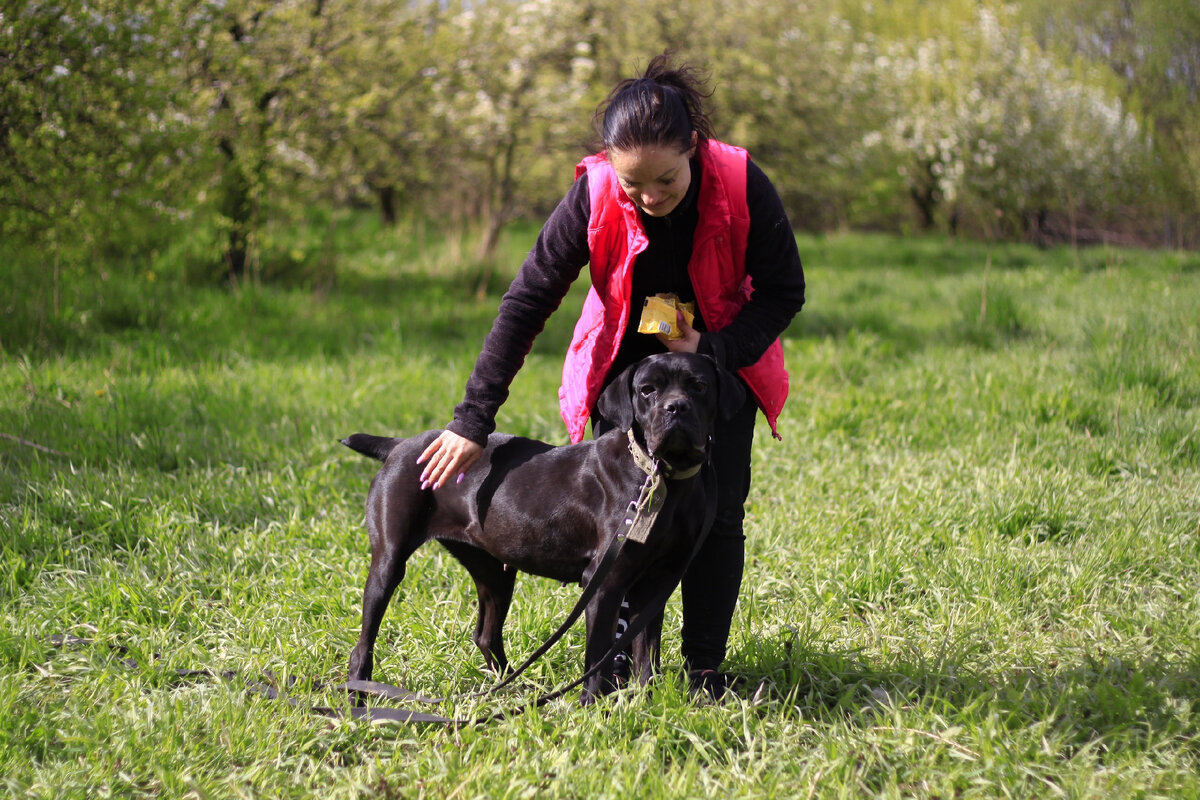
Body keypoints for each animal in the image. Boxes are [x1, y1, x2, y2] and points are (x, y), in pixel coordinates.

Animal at [343, 352, 744, 705]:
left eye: (699, 386)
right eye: (647, 390)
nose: (676, 408)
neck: (661, 477)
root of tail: (398, 446)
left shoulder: (655, 582)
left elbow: (647, 655)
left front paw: (645, 702)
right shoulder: (604, 584)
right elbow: (597, 656)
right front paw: (591, 706)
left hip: (495, 572)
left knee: (486, 635)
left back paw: (514, 690)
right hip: (389, 562)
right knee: (363, 643)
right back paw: (358, 697)